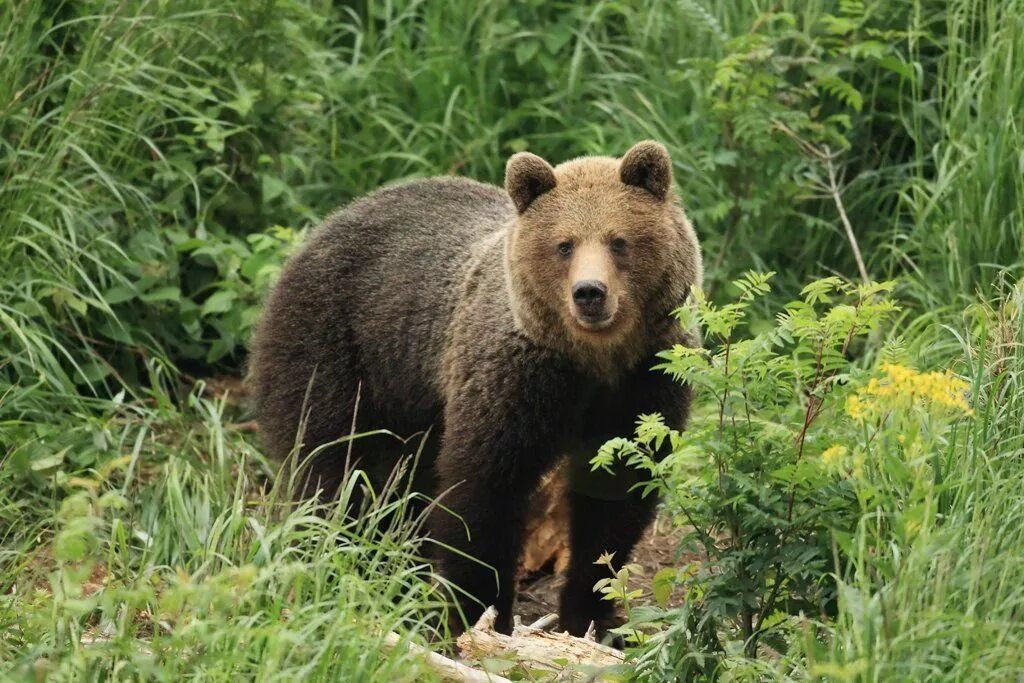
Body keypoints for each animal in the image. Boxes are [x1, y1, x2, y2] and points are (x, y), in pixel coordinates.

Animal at [245, 141, 704, 638]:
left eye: (619, 241)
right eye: (563, 245)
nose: (589, 293)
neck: (593, 359)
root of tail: (321, 229)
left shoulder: (644, 381)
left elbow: (615, 495)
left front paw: (592, 617)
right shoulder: (516, 377)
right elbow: (484, 488)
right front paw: (476, 614)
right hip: (338, 351)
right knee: (335, 467)